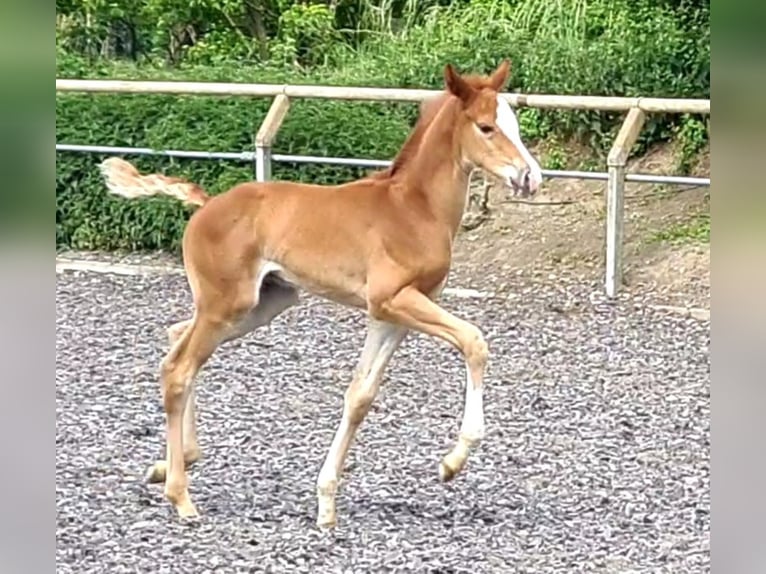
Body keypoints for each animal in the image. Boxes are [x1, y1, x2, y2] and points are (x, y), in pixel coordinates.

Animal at [100, 60, 544, 528]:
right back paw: (181, 495)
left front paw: (326, 501)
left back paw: (172, 463)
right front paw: (452, 462)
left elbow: (360, 396)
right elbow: (474, 341)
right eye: (487, 127)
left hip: (261, 304)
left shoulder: (392, 314)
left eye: (514, 124)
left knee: (175, 339)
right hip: (227, 305)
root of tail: (207, 204)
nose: (531, 177)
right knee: (180, 369)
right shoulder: (393, 299)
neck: (412, 209)